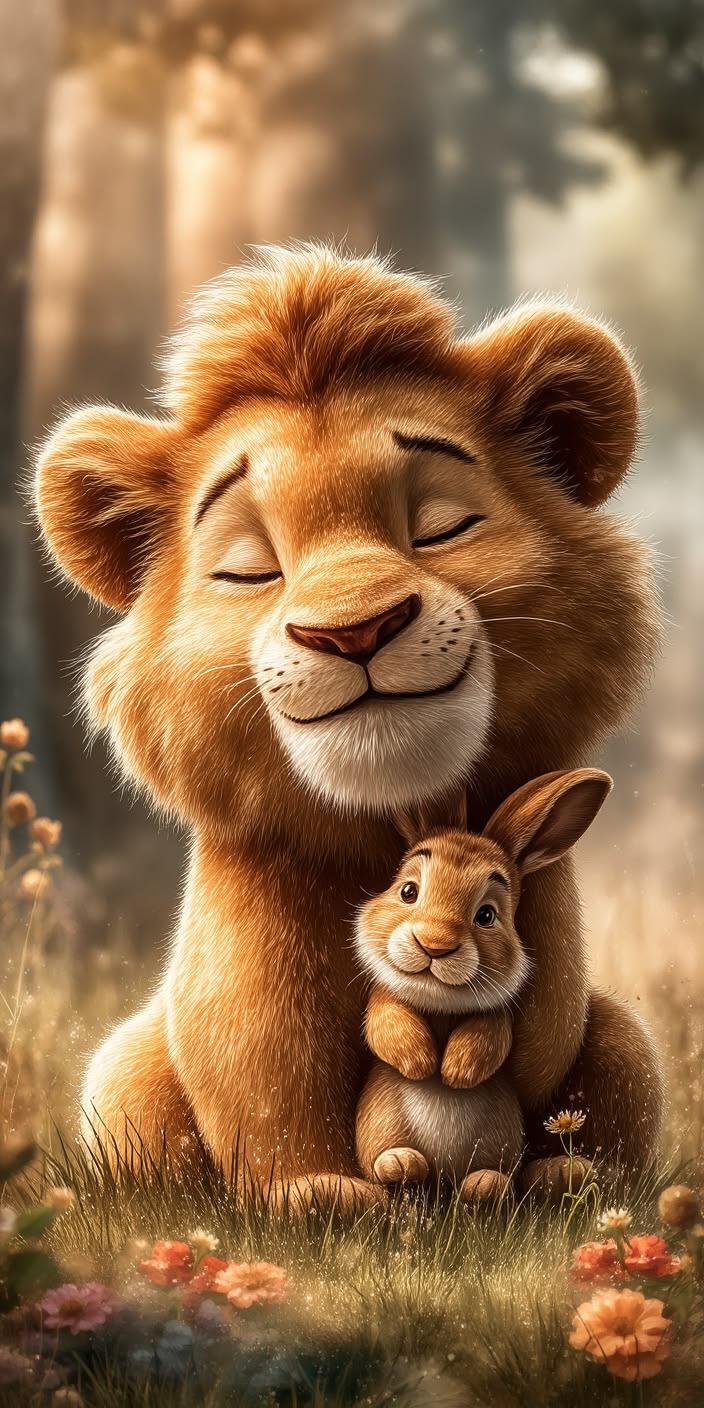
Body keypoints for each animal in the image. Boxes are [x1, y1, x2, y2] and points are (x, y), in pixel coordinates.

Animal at [355, 768, 612, 1202]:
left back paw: (490, 1184)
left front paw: (456, 1072)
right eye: (408, 891)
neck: (440, 1004)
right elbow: (385, 1024)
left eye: (487, 915)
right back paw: (402, 1164)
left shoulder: (496, 1016)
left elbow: (490, 1037)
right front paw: (422, 1063)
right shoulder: (381, 1001)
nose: (434, 944)